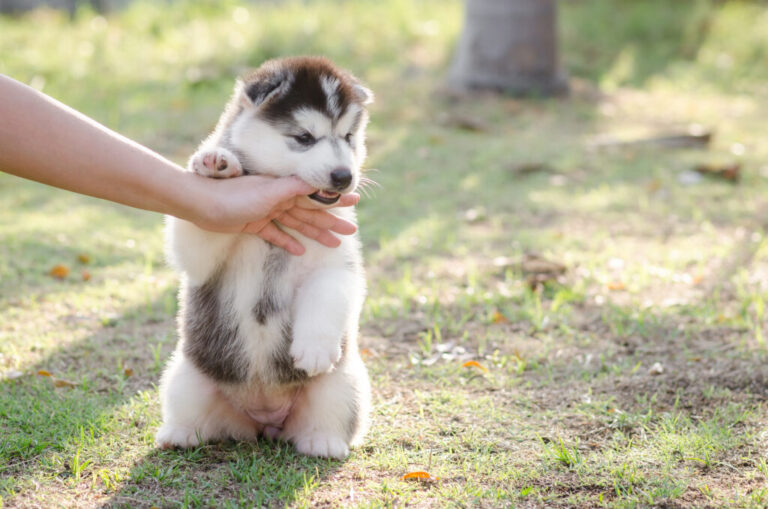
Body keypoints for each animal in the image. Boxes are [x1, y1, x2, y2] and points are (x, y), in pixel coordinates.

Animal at [155, 57, 372, 458]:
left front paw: (314, 348)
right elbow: (198, 238)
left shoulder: (337, 261)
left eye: (349, 136)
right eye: (304, 137)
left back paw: (323, 442)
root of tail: (265, 418)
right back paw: (180, 433)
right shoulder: (203, 259)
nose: (343, 176)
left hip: (345, 382)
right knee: (192, 413)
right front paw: (217, 164)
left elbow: (327, 292)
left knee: (329, 415)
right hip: (185, 376)